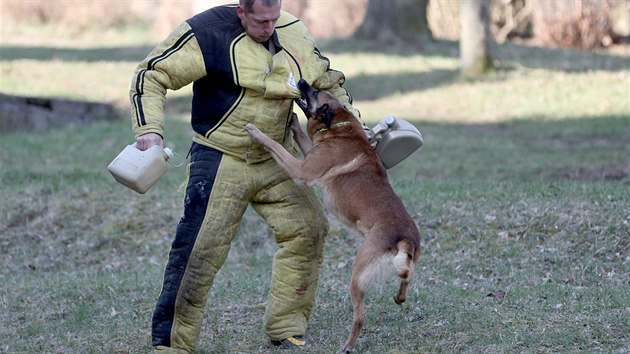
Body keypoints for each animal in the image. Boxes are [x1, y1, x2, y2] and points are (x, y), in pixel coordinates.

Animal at [246, 80, 420, 354]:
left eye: (315, 92)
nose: (302, 81)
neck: (339, 127)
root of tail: (406, 239)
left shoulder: (302, 170)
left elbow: (275, 146)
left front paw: (256, 132)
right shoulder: (310, 156)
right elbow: (302, 137)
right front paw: (293, 122)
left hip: (357, 275)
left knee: (360, 317)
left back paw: (347, 345)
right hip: (403, 267)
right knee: (407, 280)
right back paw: (399, 297)